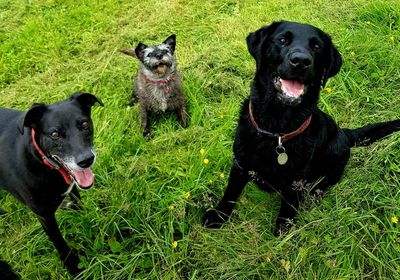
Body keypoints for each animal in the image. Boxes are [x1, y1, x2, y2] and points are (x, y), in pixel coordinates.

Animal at [0, 93, 103, 274]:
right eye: (55, 134)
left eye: (84, 124)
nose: (86, 160)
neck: (40, 159)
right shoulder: (44, 215)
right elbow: (60, 243)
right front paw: (74, 267)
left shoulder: (72, 188)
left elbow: (79, 206)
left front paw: (85, 219)